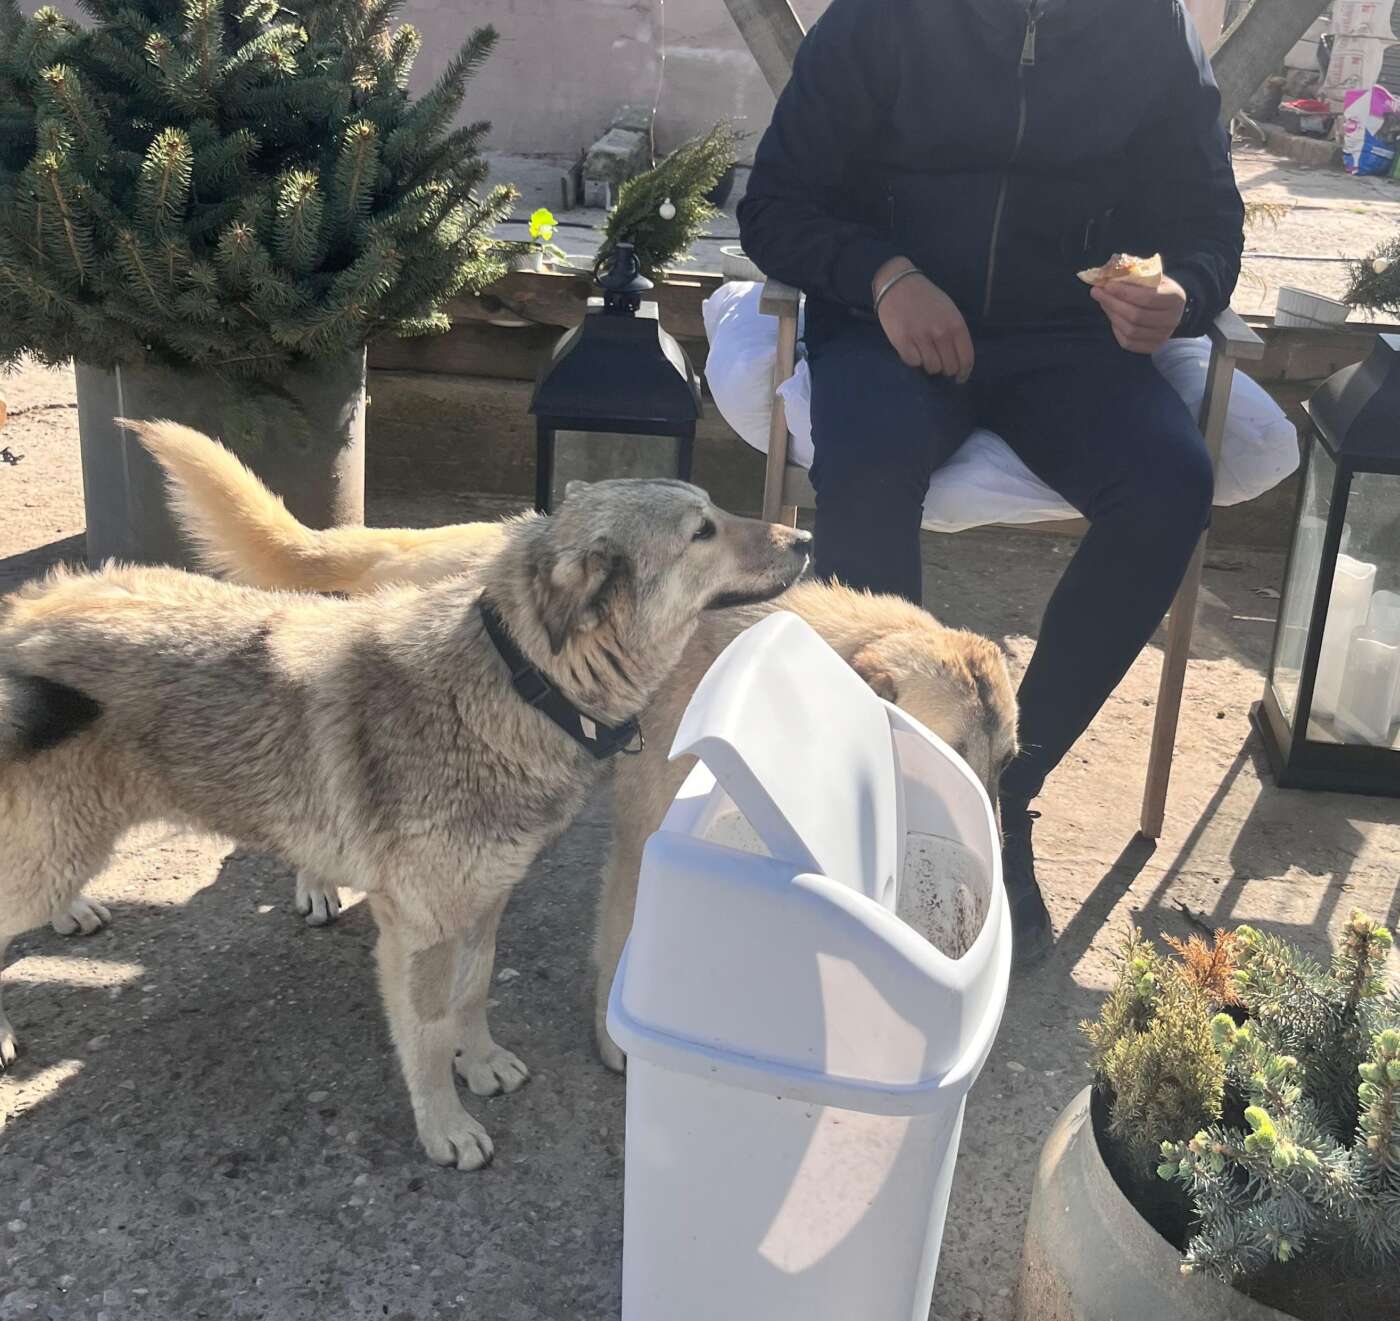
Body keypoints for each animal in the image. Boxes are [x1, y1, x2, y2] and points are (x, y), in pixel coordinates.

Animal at [0, 479, 811, 1169]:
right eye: (702, 530)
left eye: (714, 509)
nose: (804, 539)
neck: (517, 680)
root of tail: (22, 613)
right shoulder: (418, 930)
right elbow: (423, 1038)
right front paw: (445, 1127)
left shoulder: (485, 901)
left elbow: (473, 993)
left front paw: (479, 1062)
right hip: (54, 851)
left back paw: (75, 912)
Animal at [136, 422, 1019, 1070]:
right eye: (949, 753)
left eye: (1005, 765)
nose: (994, 862)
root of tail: (422, 543)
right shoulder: (640, 833)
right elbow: (622, 933)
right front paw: (612, 1038)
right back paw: (315, 882)